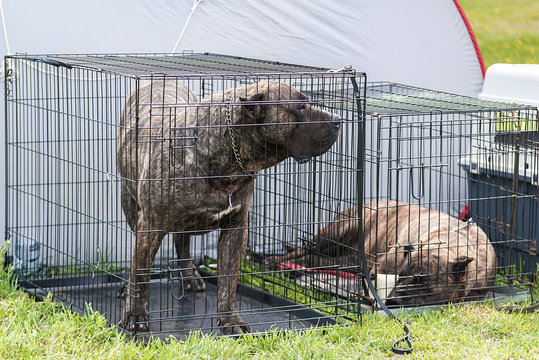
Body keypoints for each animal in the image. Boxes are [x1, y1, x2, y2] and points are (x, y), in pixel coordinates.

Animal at [117, 80, 342, 334]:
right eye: (301, 107)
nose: (338, 119)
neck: (228, 161)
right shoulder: (150, 226)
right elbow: (141, 272)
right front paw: (135, 314)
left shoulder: (236, 227)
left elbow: (228, 279)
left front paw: (229, 320)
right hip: (131, 204)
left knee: (182, 241)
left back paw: (189, 275)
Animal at [266, 201, 498, 306]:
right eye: (401, 276)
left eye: (421, 280)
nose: (393, 300)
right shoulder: (382, 267)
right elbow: (373, 287)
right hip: (335, 233)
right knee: (304, 251)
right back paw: (274, 261)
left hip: (347, 259)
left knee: (314, 259)